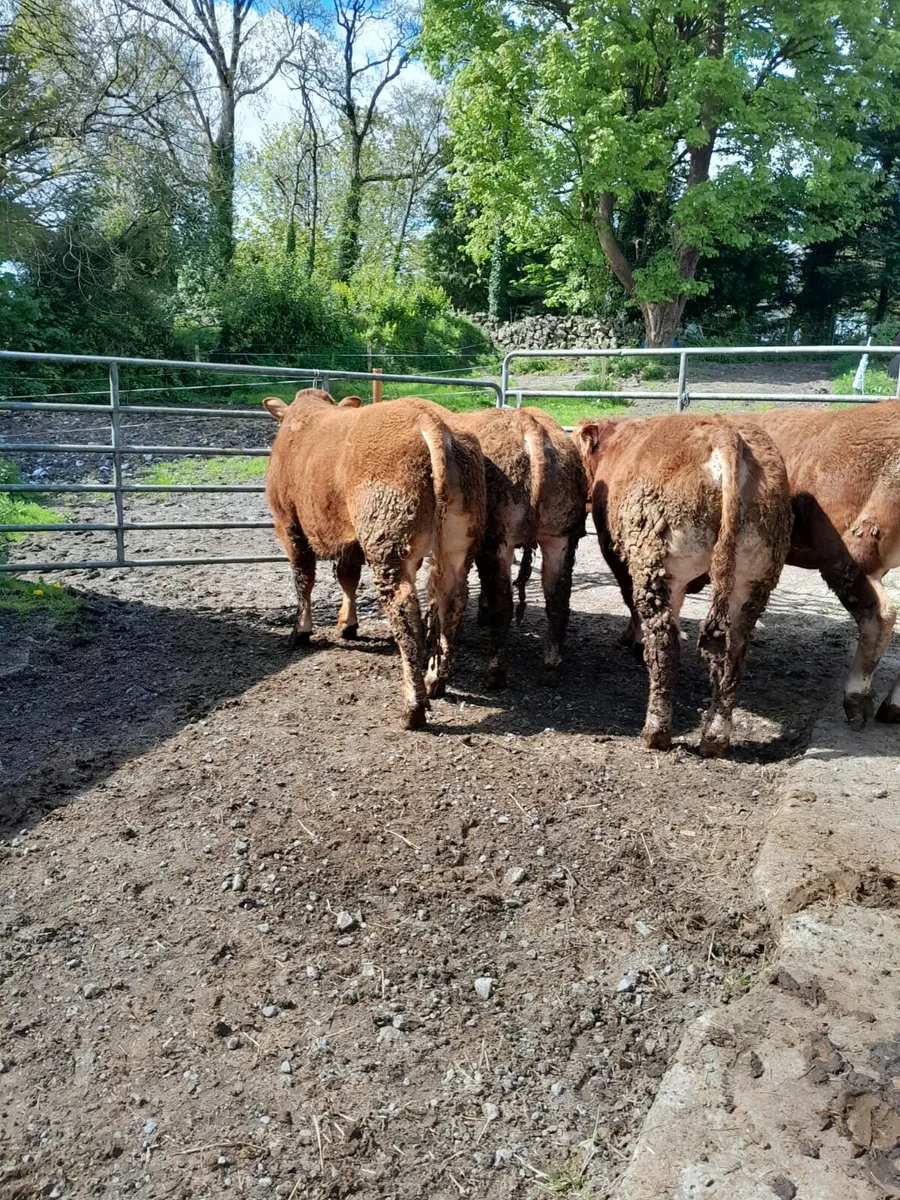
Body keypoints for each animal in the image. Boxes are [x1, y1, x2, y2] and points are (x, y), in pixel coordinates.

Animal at [262, 389, 486, 730]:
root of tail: (430, 418)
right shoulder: (350, 540)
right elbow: (347, 577)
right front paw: (347, 624)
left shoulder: (288, 523)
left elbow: (304, 578)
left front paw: (300, 631)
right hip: (457, 542)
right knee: (453, 603)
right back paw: (435, 680)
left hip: (386, 539)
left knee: (405, 612)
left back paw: (413, 708)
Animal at [445, 406, 586, 688]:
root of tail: (530, 426)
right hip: (560, 538)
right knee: (558, 600)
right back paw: (550, 667)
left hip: (500, 540)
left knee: (504, 605)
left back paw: (495, 672)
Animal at [574, 413, 791, 757]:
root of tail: (724, 434)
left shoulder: (614, 552)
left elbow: (627, 598)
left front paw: (632, 637)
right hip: (755, 578)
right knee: (734, 652)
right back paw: (715, 737)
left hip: (658, 565)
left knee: (665, 644)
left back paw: (656, 731)